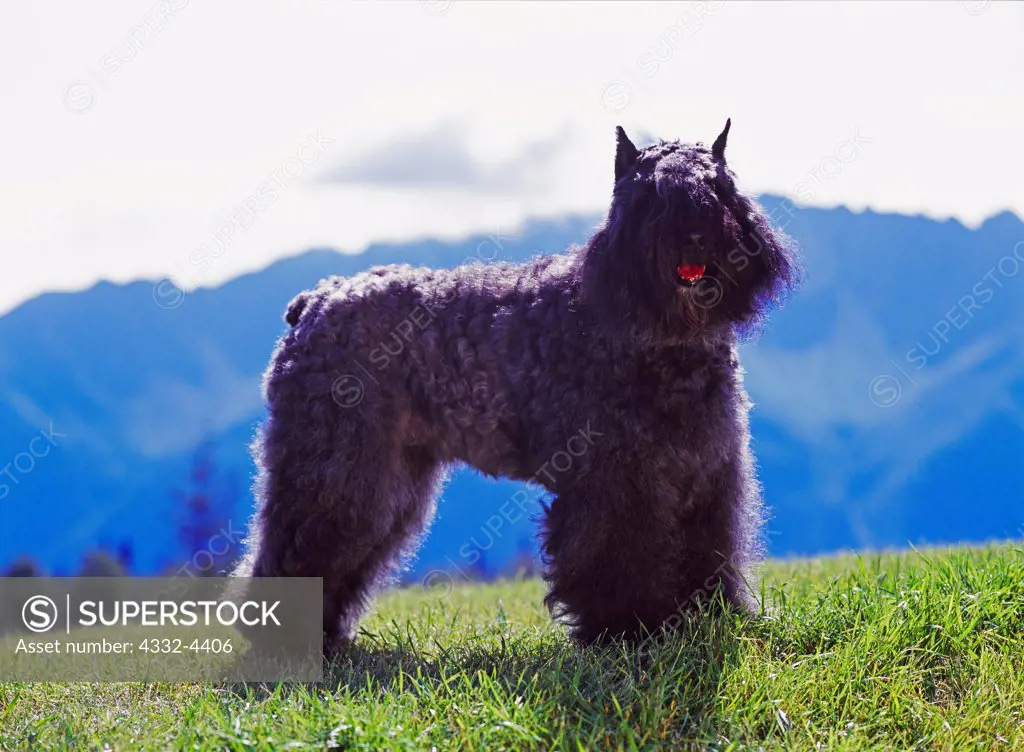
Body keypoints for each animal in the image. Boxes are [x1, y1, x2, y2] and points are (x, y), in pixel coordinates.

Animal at [234, 120, 798, 651]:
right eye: (649, 195)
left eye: (720, 187)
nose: (695, 232)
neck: (663, 339)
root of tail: (315, 301)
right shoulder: (616, 481)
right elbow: (620, 555)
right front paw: (628, 631)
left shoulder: (709, 471)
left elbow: (711, 546)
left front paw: (715, 617)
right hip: (340, 469)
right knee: (303, 542)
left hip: (392, 478)